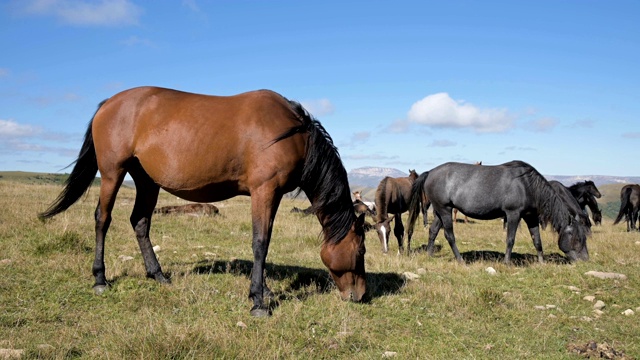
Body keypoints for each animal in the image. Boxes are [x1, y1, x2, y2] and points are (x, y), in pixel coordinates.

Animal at [40, 86, 368, 316]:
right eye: (361, 251)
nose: (361, 295)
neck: (294, 133)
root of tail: (108, 103)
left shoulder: (272, 195)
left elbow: (264, 242)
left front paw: (264, 291)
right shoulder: (265, 191)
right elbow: (260, 242)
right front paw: (258, 301)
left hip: (146, 180)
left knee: (140, 222)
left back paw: (158, 275)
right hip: (112, 172)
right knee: (102, 219)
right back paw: (100, 279)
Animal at [408, 162, 592, 262]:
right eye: (577, 238)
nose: (585, 259)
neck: (527, 185)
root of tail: (430, 173)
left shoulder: (531, 217)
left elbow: (537, 240)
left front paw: (541, 262)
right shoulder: (513, 214)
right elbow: (510, 239)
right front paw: (506, 262)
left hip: (440, 211)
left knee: (433, 231)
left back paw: (429, 254)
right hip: (445, 210)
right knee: (449, 235)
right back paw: (460, 260)